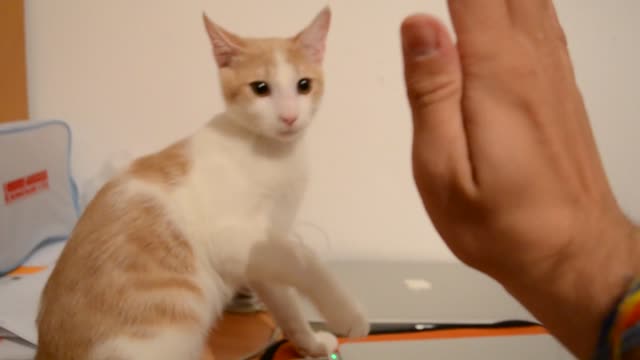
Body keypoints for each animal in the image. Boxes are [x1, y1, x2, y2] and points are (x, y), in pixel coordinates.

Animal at [35, 6, 370, 360]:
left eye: (303, 85)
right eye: (260, 88)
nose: (289, 116)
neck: (271, 152)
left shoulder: (260, 255)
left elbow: (287, 302)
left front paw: (311, 343)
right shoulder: (230, 237)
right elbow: (304, 258)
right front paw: (348, 314)